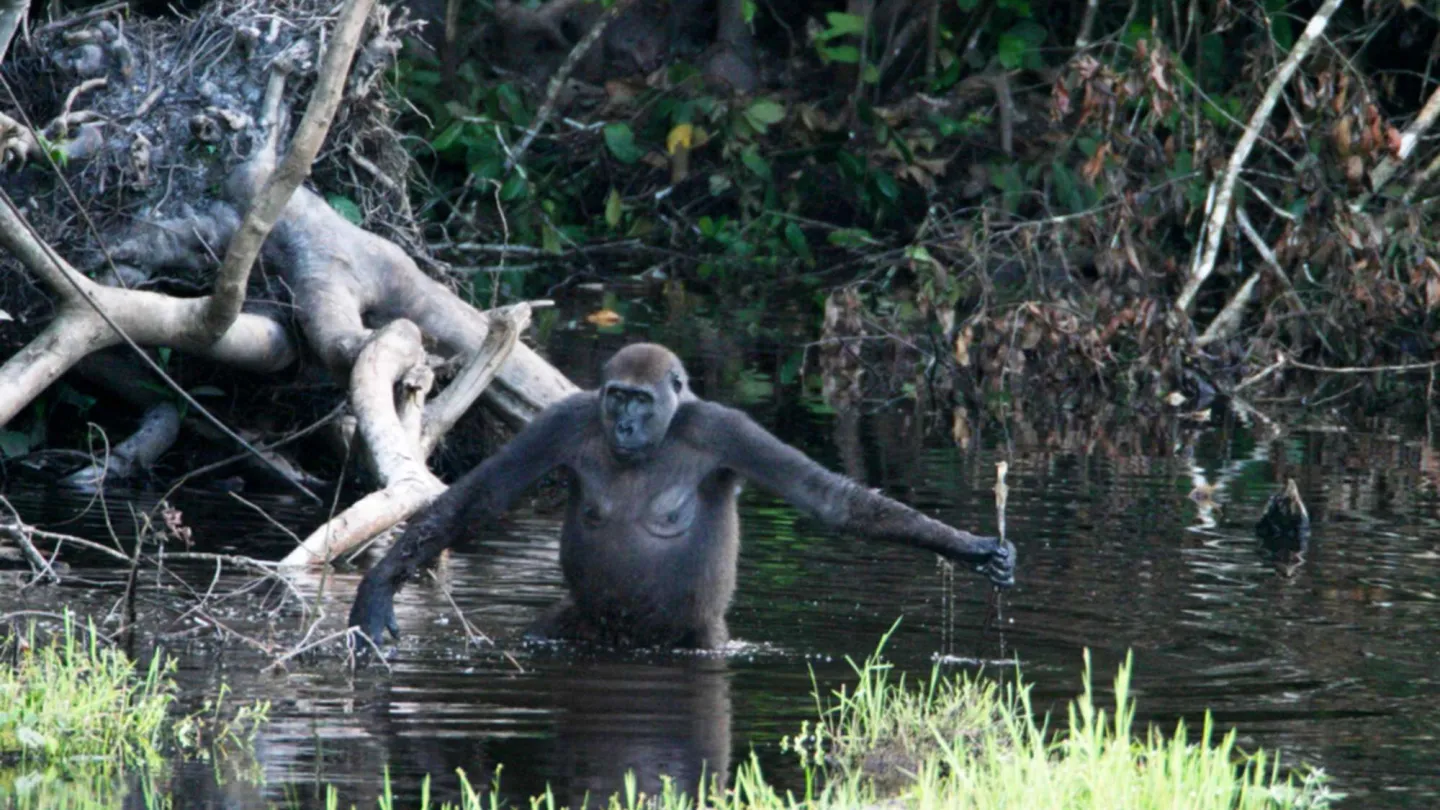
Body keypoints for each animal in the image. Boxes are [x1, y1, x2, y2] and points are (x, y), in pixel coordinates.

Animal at [348, 343, 1016, 650]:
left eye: (642, 400)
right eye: (616, 396)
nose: (623, 424)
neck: (660, 433)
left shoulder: (728, 429)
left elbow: (830, 499)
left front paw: (968, 547)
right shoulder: (566, 420)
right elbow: (481, 497)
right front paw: (377, 590)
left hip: (700, 639)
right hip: (584, 629)